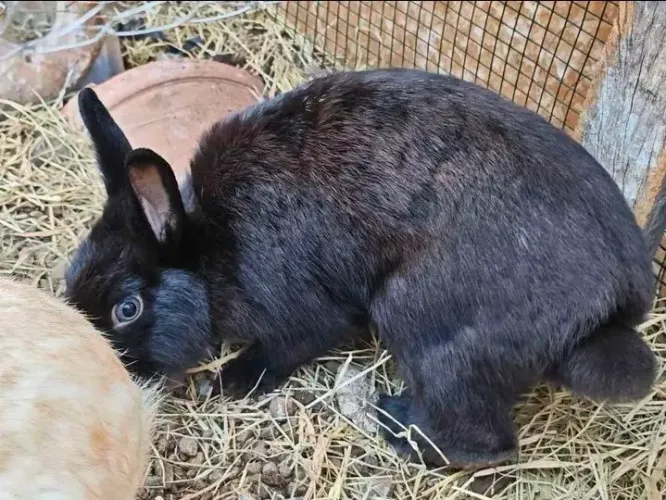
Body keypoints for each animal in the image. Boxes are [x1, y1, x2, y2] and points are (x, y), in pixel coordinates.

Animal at [64, 68, 658, 469]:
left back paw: (397, 425)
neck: (209, 249)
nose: (104, 371)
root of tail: (604, 315)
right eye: (69, 275)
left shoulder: (299, 311)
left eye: (127, 308)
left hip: (418, 318)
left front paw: (231, 380)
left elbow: (291, 344)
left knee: (485, 442)